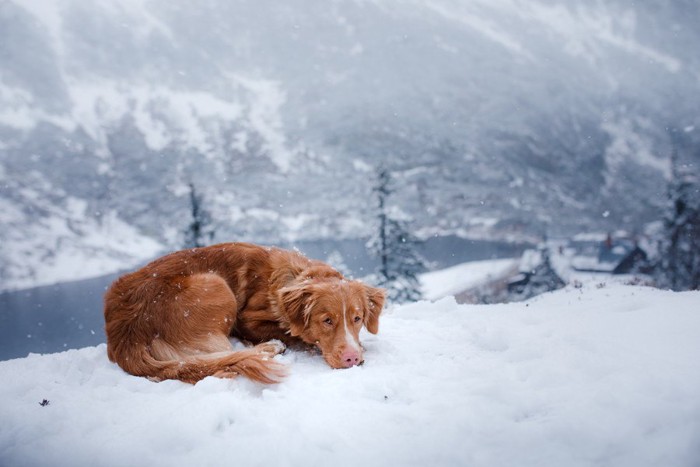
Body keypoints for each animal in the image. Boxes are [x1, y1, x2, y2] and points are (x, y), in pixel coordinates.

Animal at [105, 243, 388, 386]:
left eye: (357, 319)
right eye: (327, 321)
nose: (352, 358)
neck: (299, 275)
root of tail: (125, 337)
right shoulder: (247, 321)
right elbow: (291, 333)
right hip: (216, 285)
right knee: (226, 355)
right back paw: (270, 348)